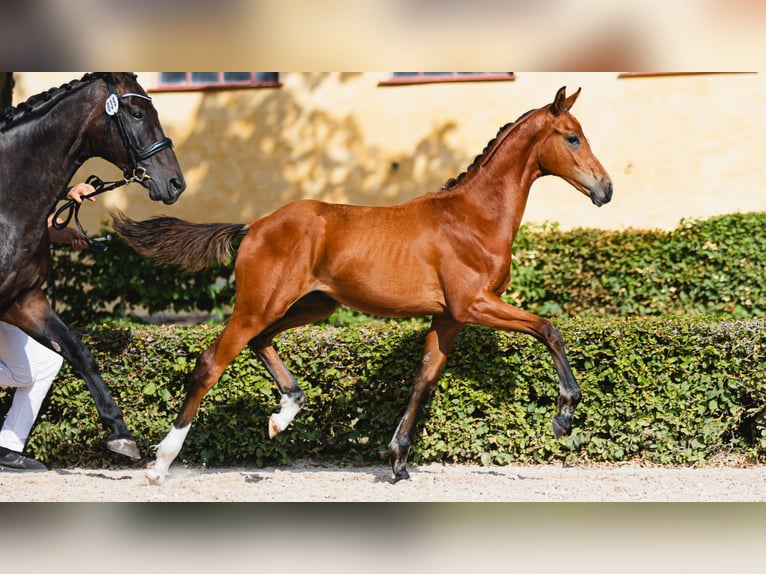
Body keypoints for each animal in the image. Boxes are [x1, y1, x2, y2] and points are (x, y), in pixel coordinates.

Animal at [113, 86, 613, 483]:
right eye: (572, 137)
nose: (604, 189)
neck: (474, 217)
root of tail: (253, 225)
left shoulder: (449, 317)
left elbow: (424, 379)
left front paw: (397, 461)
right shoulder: (474, 303)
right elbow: (548, 329)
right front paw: (565, 415)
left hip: (312, 305)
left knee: (260, 342)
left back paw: (284, 414)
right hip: (259, 305)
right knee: (212, 362)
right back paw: (161, 464)